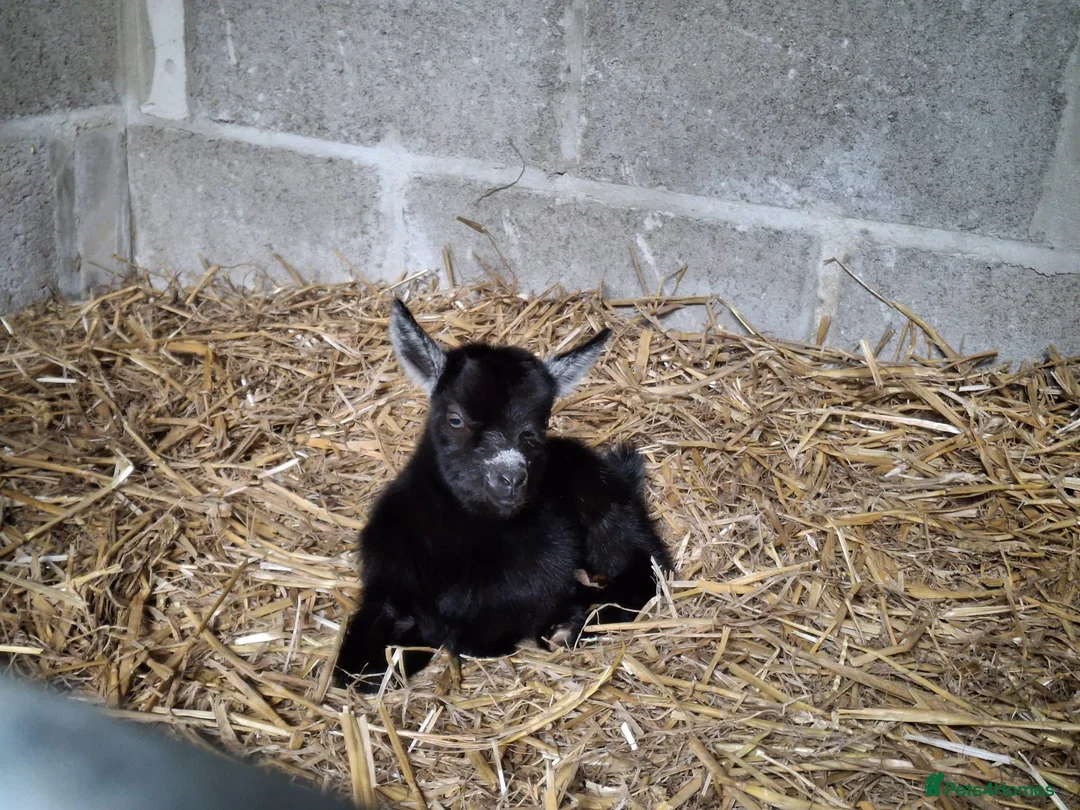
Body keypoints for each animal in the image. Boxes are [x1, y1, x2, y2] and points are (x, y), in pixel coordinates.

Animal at [333, 300, 672, 692]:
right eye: (455, 418)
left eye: (540, 424)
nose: (509, 478)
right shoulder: (389, 583)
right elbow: (351, 671)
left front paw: (565, 623)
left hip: (609, 512)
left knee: (646, 565)